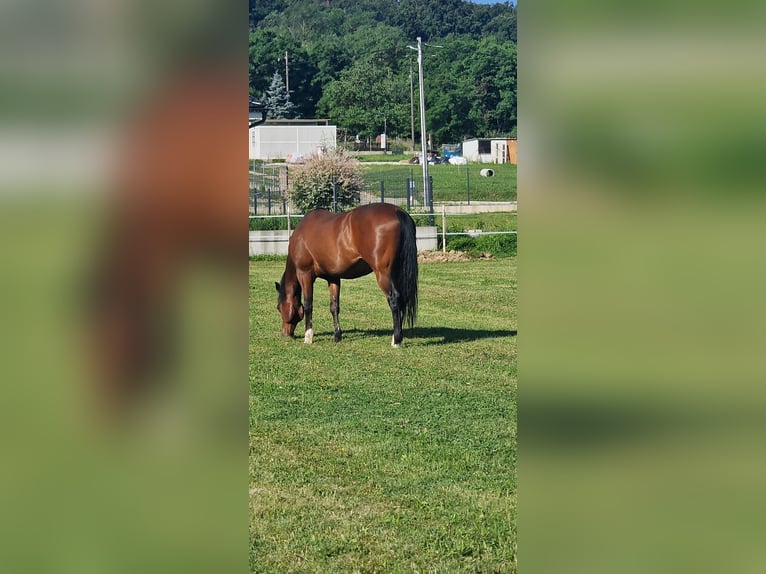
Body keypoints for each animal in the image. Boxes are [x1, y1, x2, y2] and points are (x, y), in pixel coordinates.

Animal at [275, 203, 418, 347]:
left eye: (279, 307)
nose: (285, 334)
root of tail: (397, 211)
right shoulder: (333, 278)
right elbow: (334, 307)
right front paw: (337, 335)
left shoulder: (305, 275)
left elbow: (308, 305)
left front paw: (308, 337)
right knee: (402, 300)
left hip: (383, 274)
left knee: (394, 299)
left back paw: (396, 340)